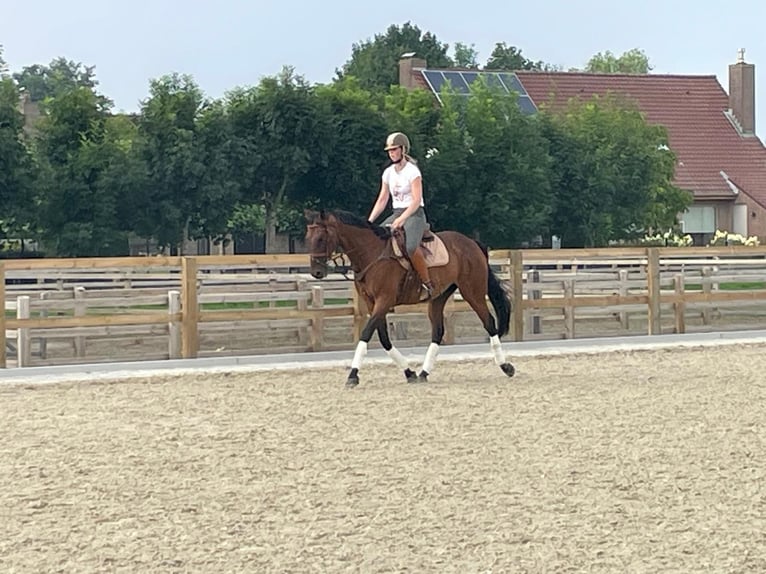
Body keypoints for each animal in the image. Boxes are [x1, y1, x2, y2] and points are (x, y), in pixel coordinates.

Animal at [306, 209, 516, 390]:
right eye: (308, 238)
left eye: (321, 238)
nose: (316, 272)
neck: (372, 254)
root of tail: (471, 242)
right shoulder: (372, 303)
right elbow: (384, 338)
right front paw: (409, 373)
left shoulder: (384, 301)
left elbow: (366, 333)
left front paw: (353, 375)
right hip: (439, 297)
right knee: (438, 331)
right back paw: (423, 373)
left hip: (472, 292)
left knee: (489, 322)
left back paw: (506, 366)